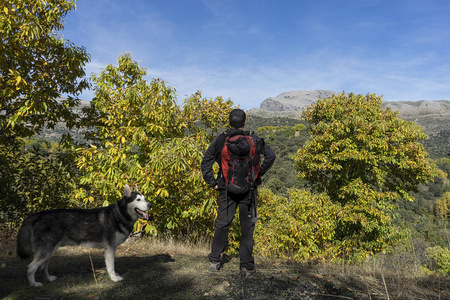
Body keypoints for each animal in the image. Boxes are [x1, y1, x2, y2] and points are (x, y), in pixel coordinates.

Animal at [16, 184, 152, 288]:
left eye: (145, 199)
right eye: (138, 200)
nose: (150, 205)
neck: (119, 214)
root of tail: (38, 215)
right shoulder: (110, 248)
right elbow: (111, 266)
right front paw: (114, 278)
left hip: (50, 251)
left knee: (43, 266)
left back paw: (49, 278)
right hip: (46, 251)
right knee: (31, 267)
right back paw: (34, 284)